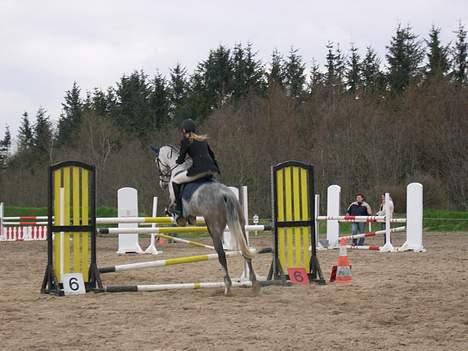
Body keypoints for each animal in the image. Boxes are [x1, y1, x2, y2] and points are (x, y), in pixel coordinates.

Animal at [153, 144, 260, 296]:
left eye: (157, 161)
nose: (162, 182)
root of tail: (226, 194)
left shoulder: (174, 198)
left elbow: (173, 210)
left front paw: (176, 216)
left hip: (214, 228)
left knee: (221, 255)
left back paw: (227, 286)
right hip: (241, 225)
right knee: (246, 252)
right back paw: (254, 284)